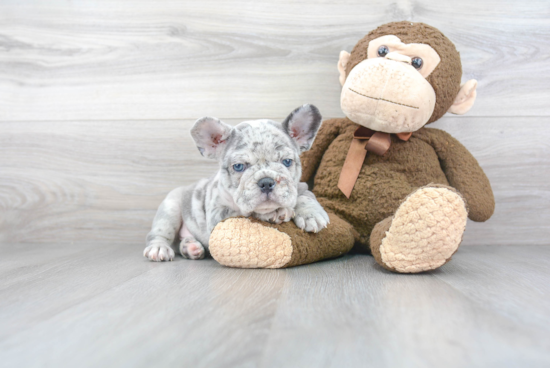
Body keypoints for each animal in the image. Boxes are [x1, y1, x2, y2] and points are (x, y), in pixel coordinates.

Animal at [144, 103, 330, 262]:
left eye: (287, 162)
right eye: (239, 166)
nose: (266, 182)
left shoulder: (299, 186)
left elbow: (305, 196)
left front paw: (312, 214)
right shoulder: (219, 214)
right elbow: (247, 212)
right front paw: (275, 212)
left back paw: (190, 247)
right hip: (170, 209)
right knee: (159, 234)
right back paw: (159, 248)